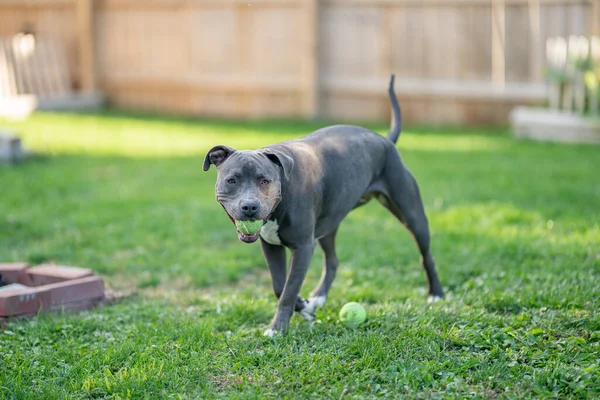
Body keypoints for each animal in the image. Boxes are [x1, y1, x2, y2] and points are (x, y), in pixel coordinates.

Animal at [204, 74, 442, 334]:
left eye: (265, 181)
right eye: (232, 180)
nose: (249, 207)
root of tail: (385, 140)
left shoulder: (303, 246)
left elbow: (289, 289)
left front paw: (278, 328)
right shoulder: (271, 245)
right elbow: (279, 286)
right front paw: (305, 307)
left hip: (412, 214)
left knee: (426, 255)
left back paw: (436, 294)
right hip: (328, 225)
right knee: (333, 261)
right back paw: (318, 297)